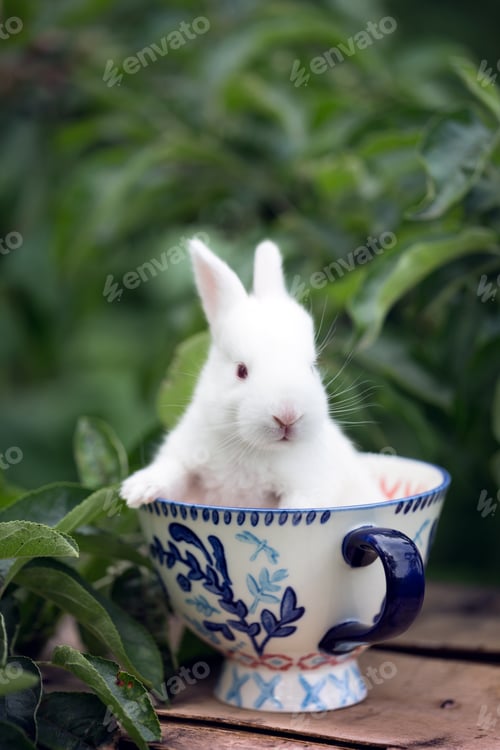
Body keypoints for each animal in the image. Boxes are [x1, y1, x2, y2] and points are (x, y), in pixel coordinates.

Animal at [120, 238, 381, 509]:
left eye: (312, 367)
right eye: (241, 371)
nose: (288, 416)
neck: (249, 447)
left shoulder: (305, 489)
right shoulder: (186, 455)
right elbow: (174, 471)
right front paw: (137, 490)